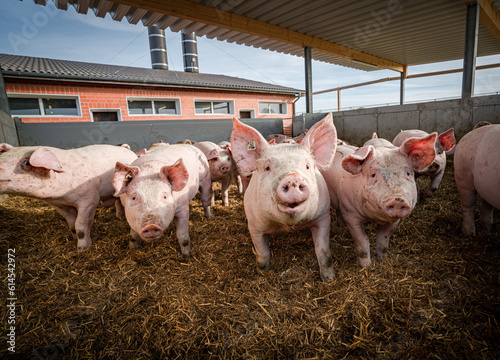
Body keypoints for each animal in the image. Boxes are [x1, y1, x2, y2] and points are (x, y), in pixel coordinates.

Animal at [0, 142, 138, 249]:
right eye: (2, 157)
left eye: (26, 163)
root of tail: (125, 148)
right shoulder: (60, 205)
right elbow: (71, 224)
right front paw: (73, 238)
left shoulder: (89, 200)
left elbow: (80, 225)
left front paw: (82, 249)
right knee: (118, 201)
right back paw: (118, 216)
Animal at [232, 112, 338, 282]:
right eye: (267, 167)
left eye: (307, 166)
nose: (292, 178)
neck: (286, 226)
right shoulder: (255, 226)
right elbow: (262, 254)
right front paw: (263, 274)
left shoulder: (322, 216)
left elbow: (323, 252)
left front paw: (329, 279)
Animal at [322, 133, 436, 268]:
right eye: (373, 175)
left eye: (408, 173)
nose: (397, 200)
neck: (373, 217)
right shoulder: (350, 214)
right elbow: (362, 240)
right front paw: (366, 266)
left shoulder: (394, 221)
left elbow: (383, 239)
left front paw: (381, 259)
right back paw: (341, 226)